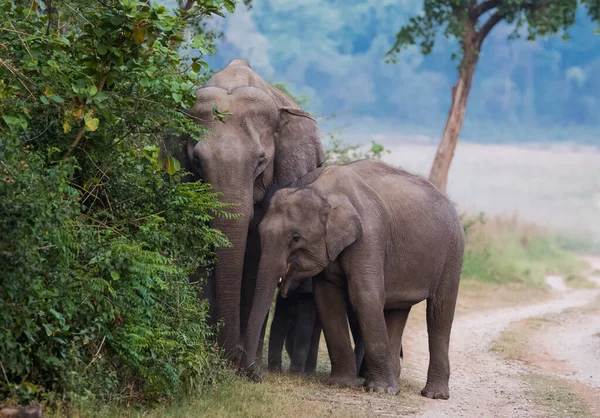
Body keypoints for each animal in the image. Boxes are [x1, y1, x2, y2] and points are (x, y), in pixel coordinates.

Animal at [168, 57, 328, 364]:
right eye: (197, 161)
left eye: (261, 162)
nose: (233, 359)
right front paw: (213, 353)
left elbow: (255, 256)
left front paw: (239, 363)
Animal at [241, 159, 466, 398]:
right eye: (259, 233)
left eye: (296, 238)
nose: (257, 376)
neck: (322, 189)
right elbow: (327, 299)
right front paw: (341, 384)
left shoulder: (369, 236)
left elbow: (364, 295)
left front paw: (380, 390)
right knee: (397, 310)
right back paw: (390, 382)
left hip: (453, 252)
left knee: (439, 312)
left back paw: (433, 394)